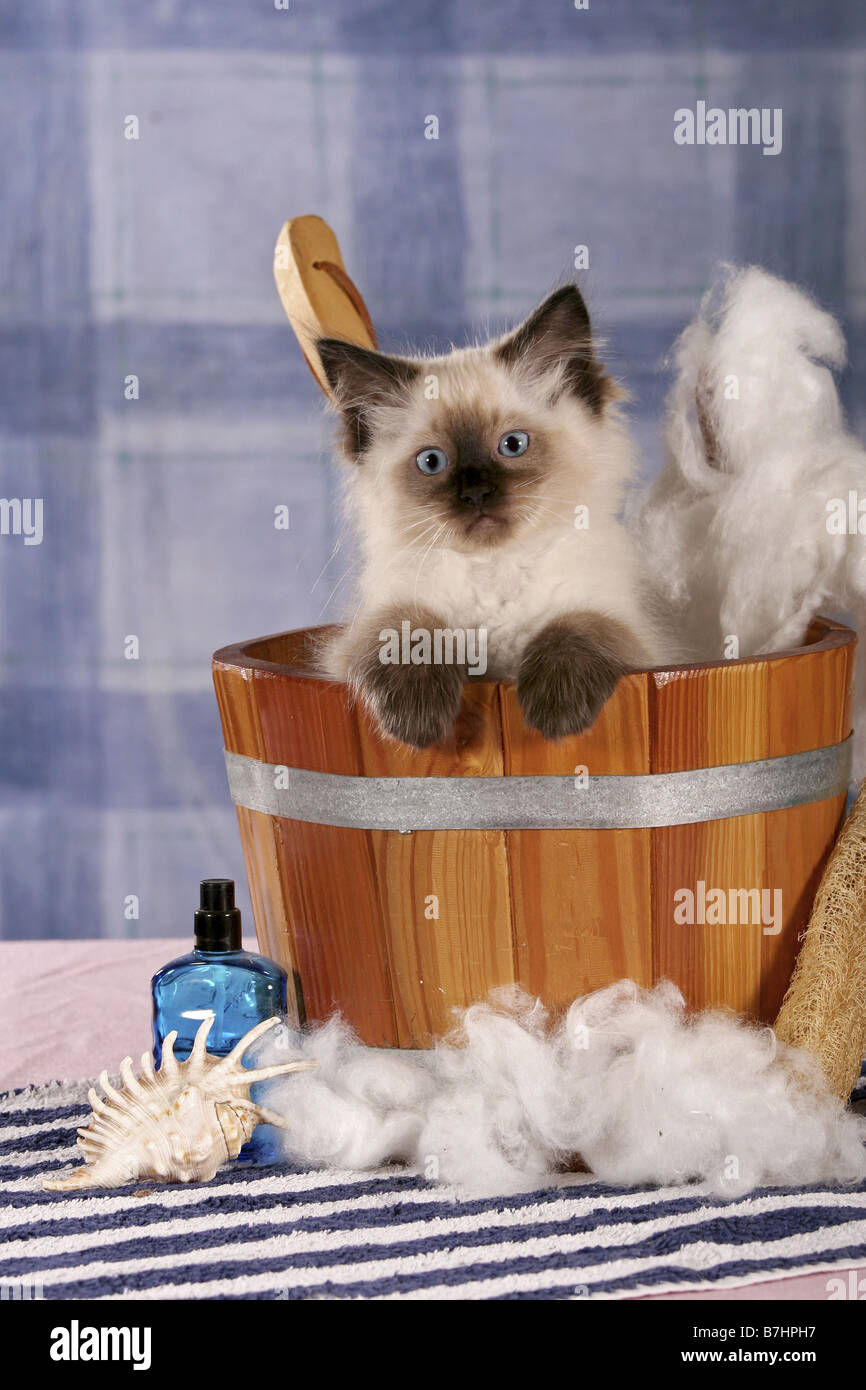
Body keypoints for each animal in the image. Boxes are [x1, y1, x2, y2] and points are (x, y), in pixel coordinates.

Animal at [318, 284, 664, 750]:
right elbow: (407, 634)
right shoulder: (385, 616)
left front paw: (556, 711)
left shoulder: (620, 622)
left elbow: (576, 628)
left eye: (513, 445)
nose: (476, 493)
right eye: (432, 462)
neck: (495, 567)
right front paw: (417, 722)